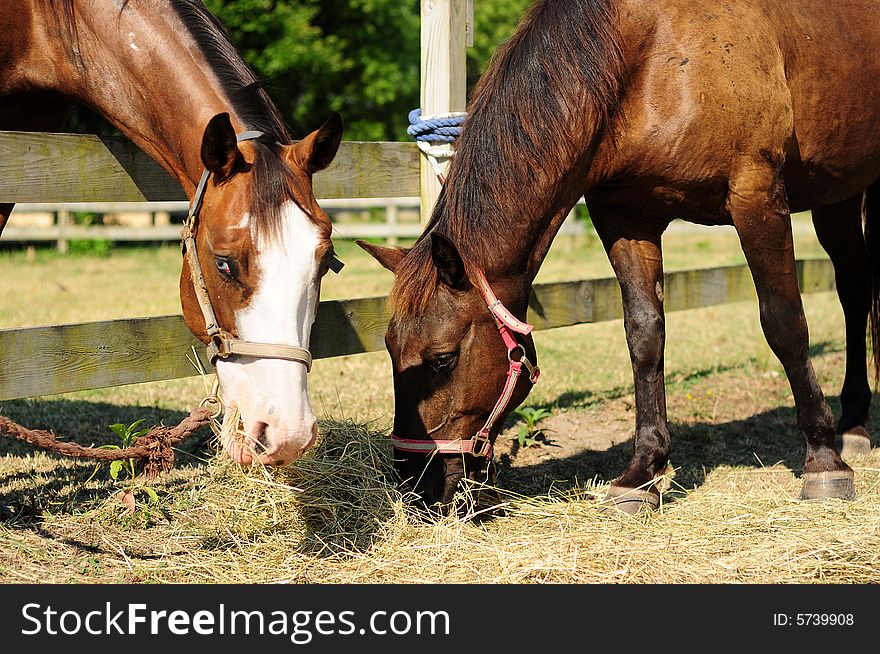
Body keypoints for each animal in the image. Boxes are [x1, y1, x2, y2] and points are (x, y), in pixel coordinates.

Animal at [360, 0, 880, 512]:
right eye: (389, 348)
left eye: (442, 359)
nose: (414, 484)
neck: (653, 55)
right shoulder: (625, 217)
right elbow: (644, 335)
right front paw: (642, 473)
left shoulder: (757, 197)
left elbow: (785, 324)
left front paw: (823, 462)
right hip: (836, 194)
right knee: (854, 292)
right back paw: (854, 424)